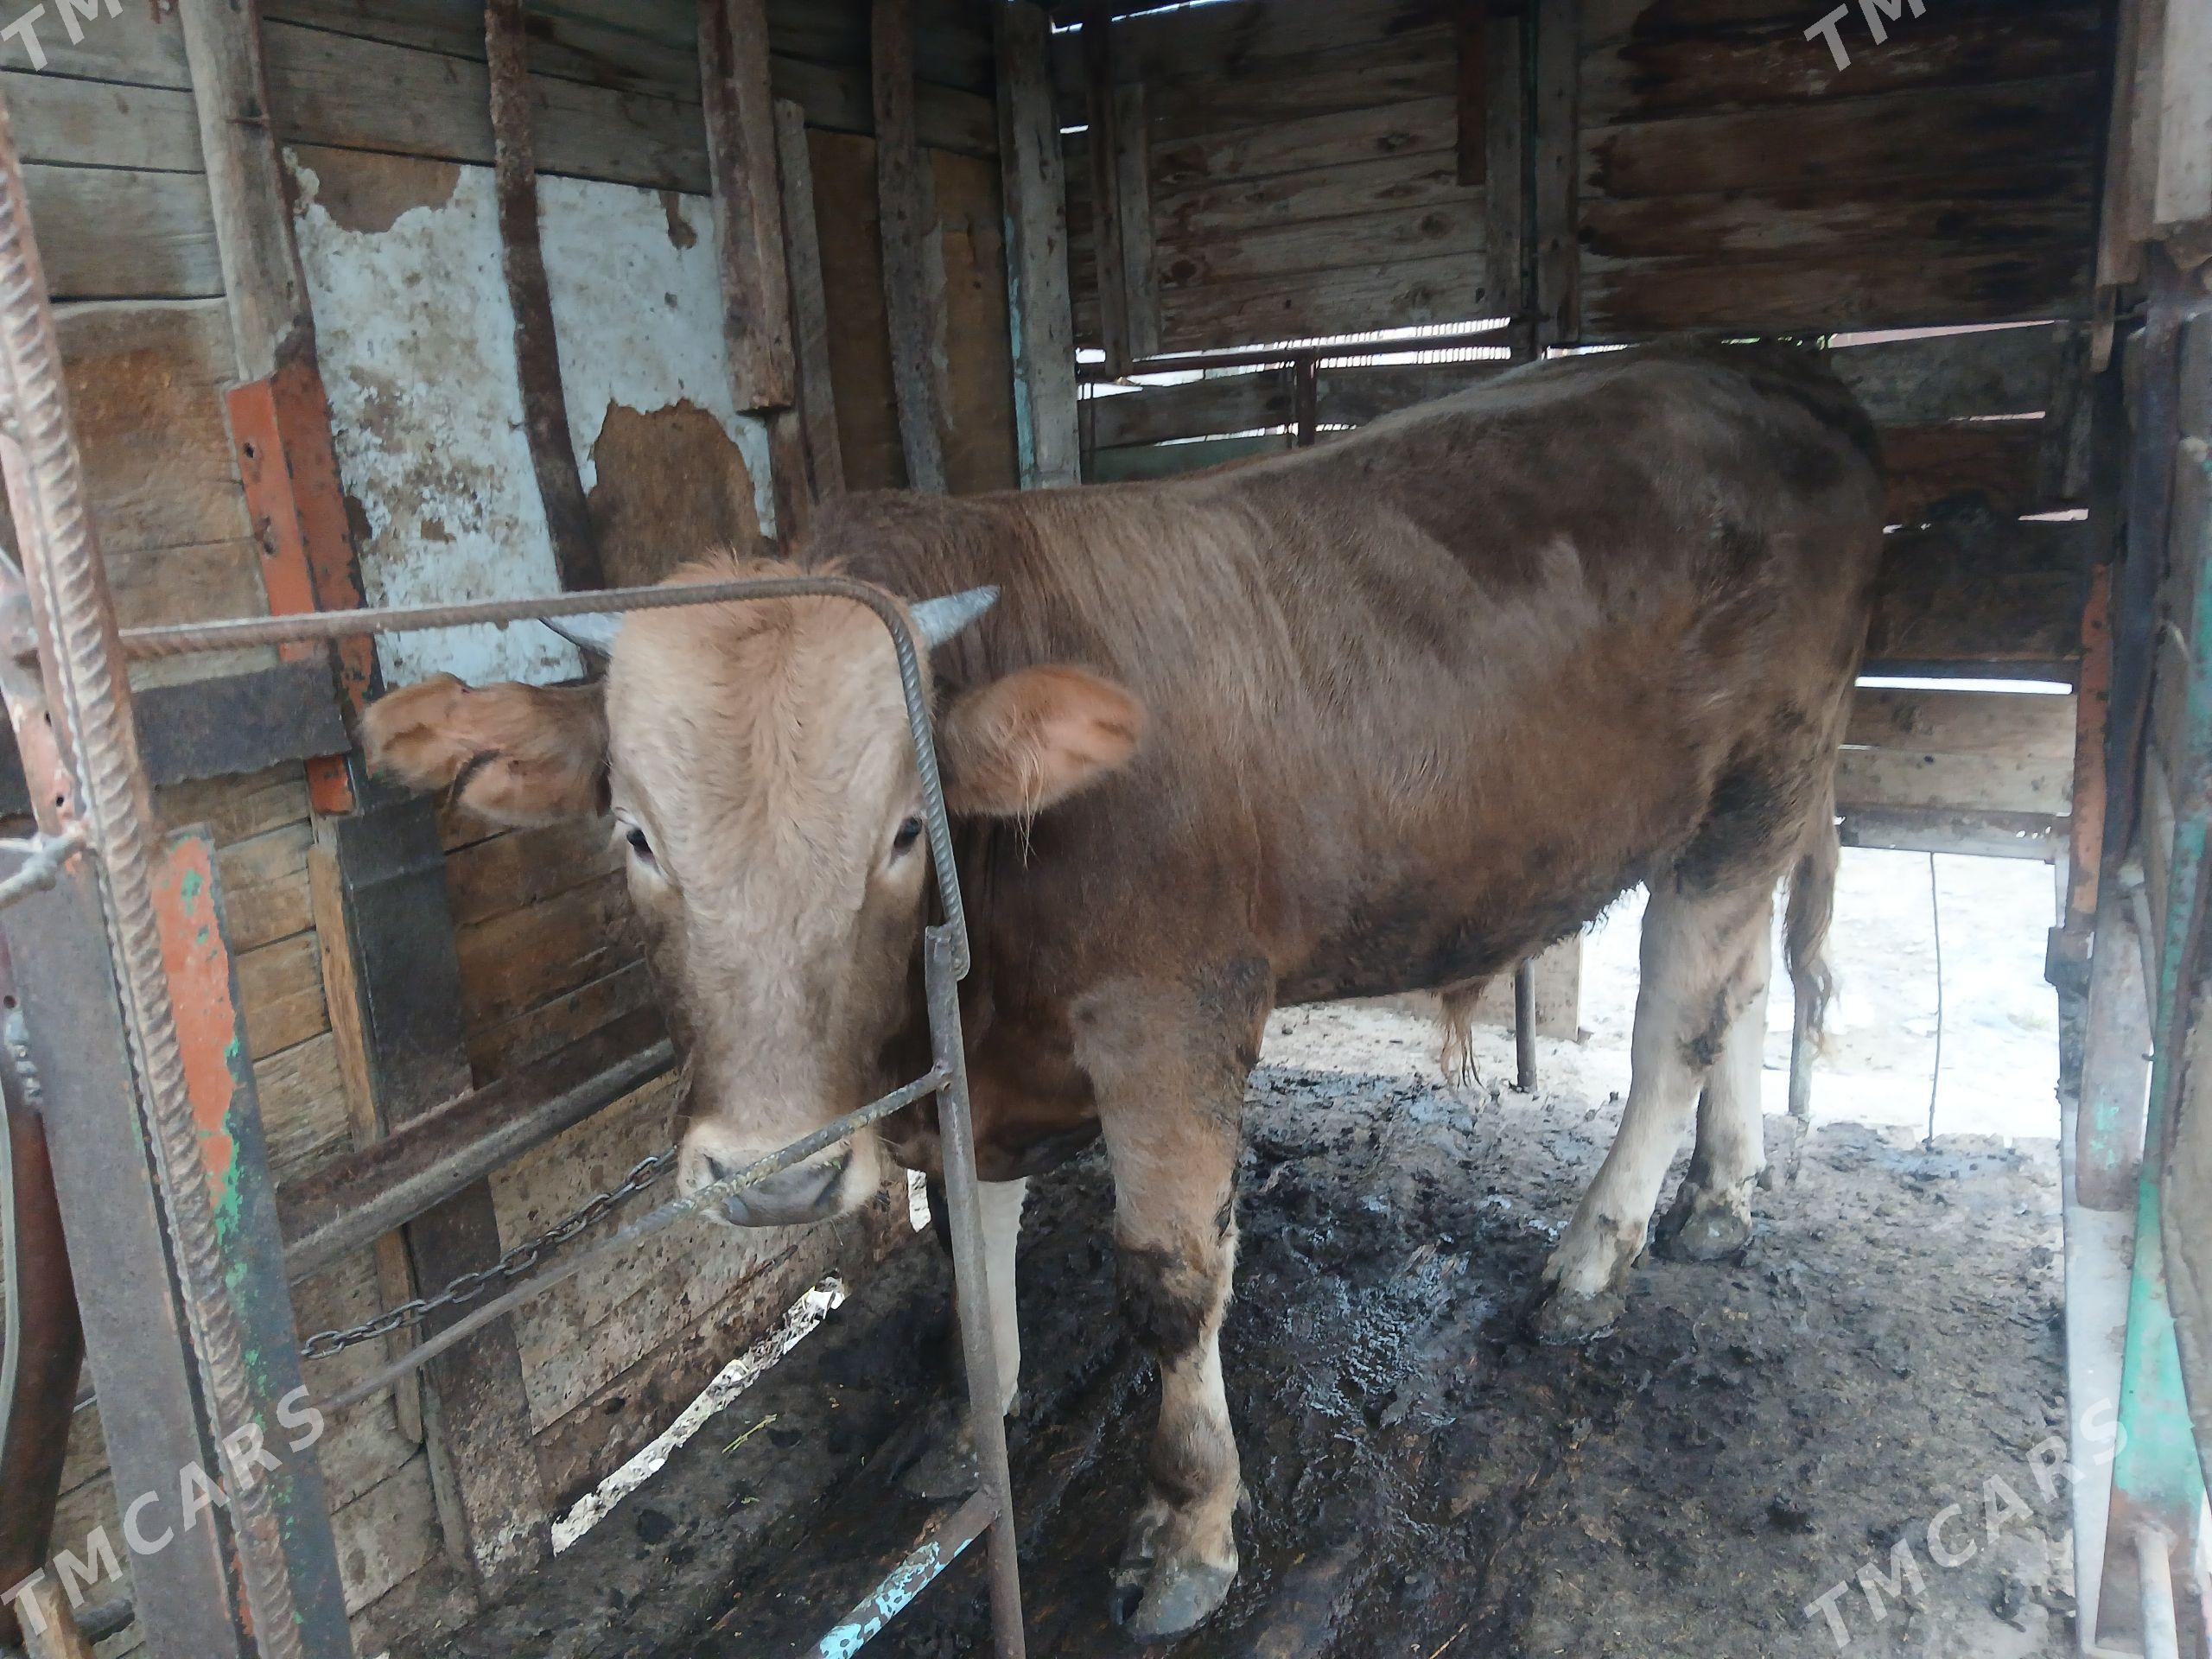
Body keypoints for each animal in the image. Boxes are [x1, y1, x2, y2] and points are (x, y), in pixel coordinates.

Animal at [363, 339, 1883, 1638]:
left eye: (903, 831)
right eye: (634, 836)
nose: (779, 1179)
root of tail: (1761, 372)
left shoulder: (1171, 1016)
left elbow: (1171, 1282)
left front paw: (1191, 1526)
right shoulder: (972, 1075)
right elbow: (969, 1263)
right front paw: (969, 1427)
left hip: (1760, 778)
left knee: (1677, 1019)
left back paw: (1593, 1255)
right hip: (1756, 807)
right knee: (1740, 991)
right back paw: (1722, 1198)